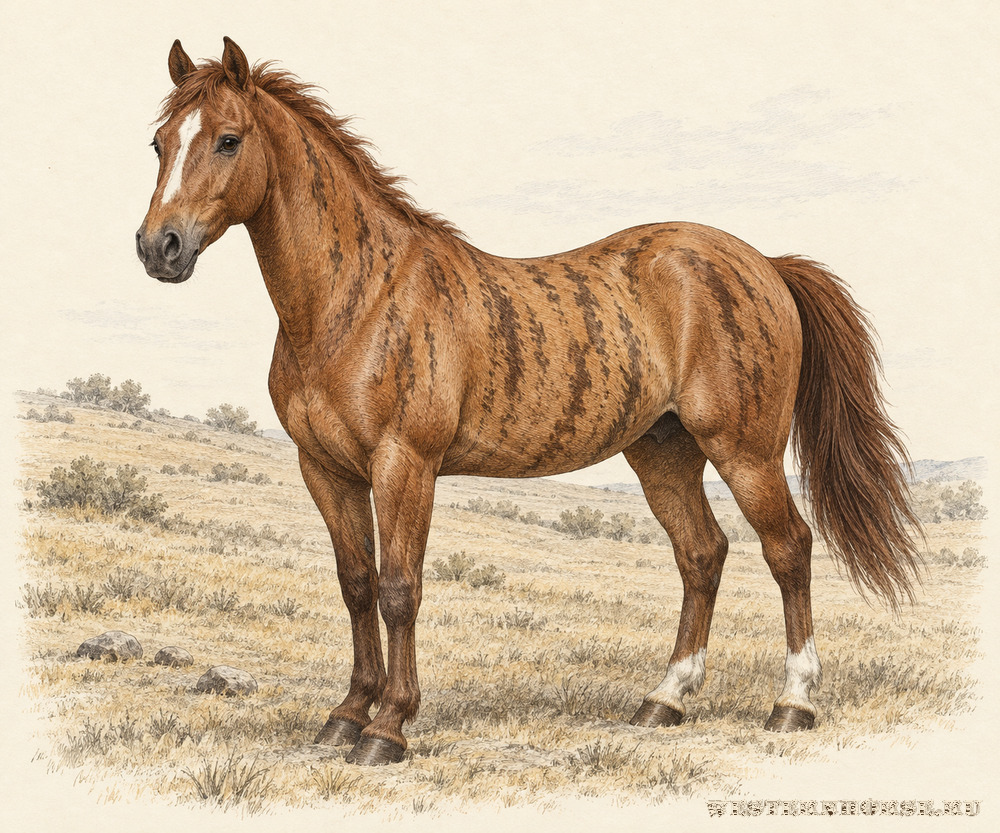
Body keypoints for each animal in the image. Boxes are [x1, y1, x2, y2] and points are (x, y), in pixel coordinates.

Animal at [136, 38, 921, 766]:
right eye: (160, 142)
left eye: (228, 139)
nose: (158, 248)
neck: (357, 299)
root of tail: (765, 265)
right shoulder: (324, 469)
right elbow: (356, 585)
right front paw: (346, 715)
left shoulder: (404, 465)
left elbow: (399, 589)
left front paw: (388, 727)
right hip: (663, 452)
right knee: (702, 553)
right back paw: (664, 699)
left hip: (745, 449)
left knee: (788, 548)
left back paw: (793, 703)